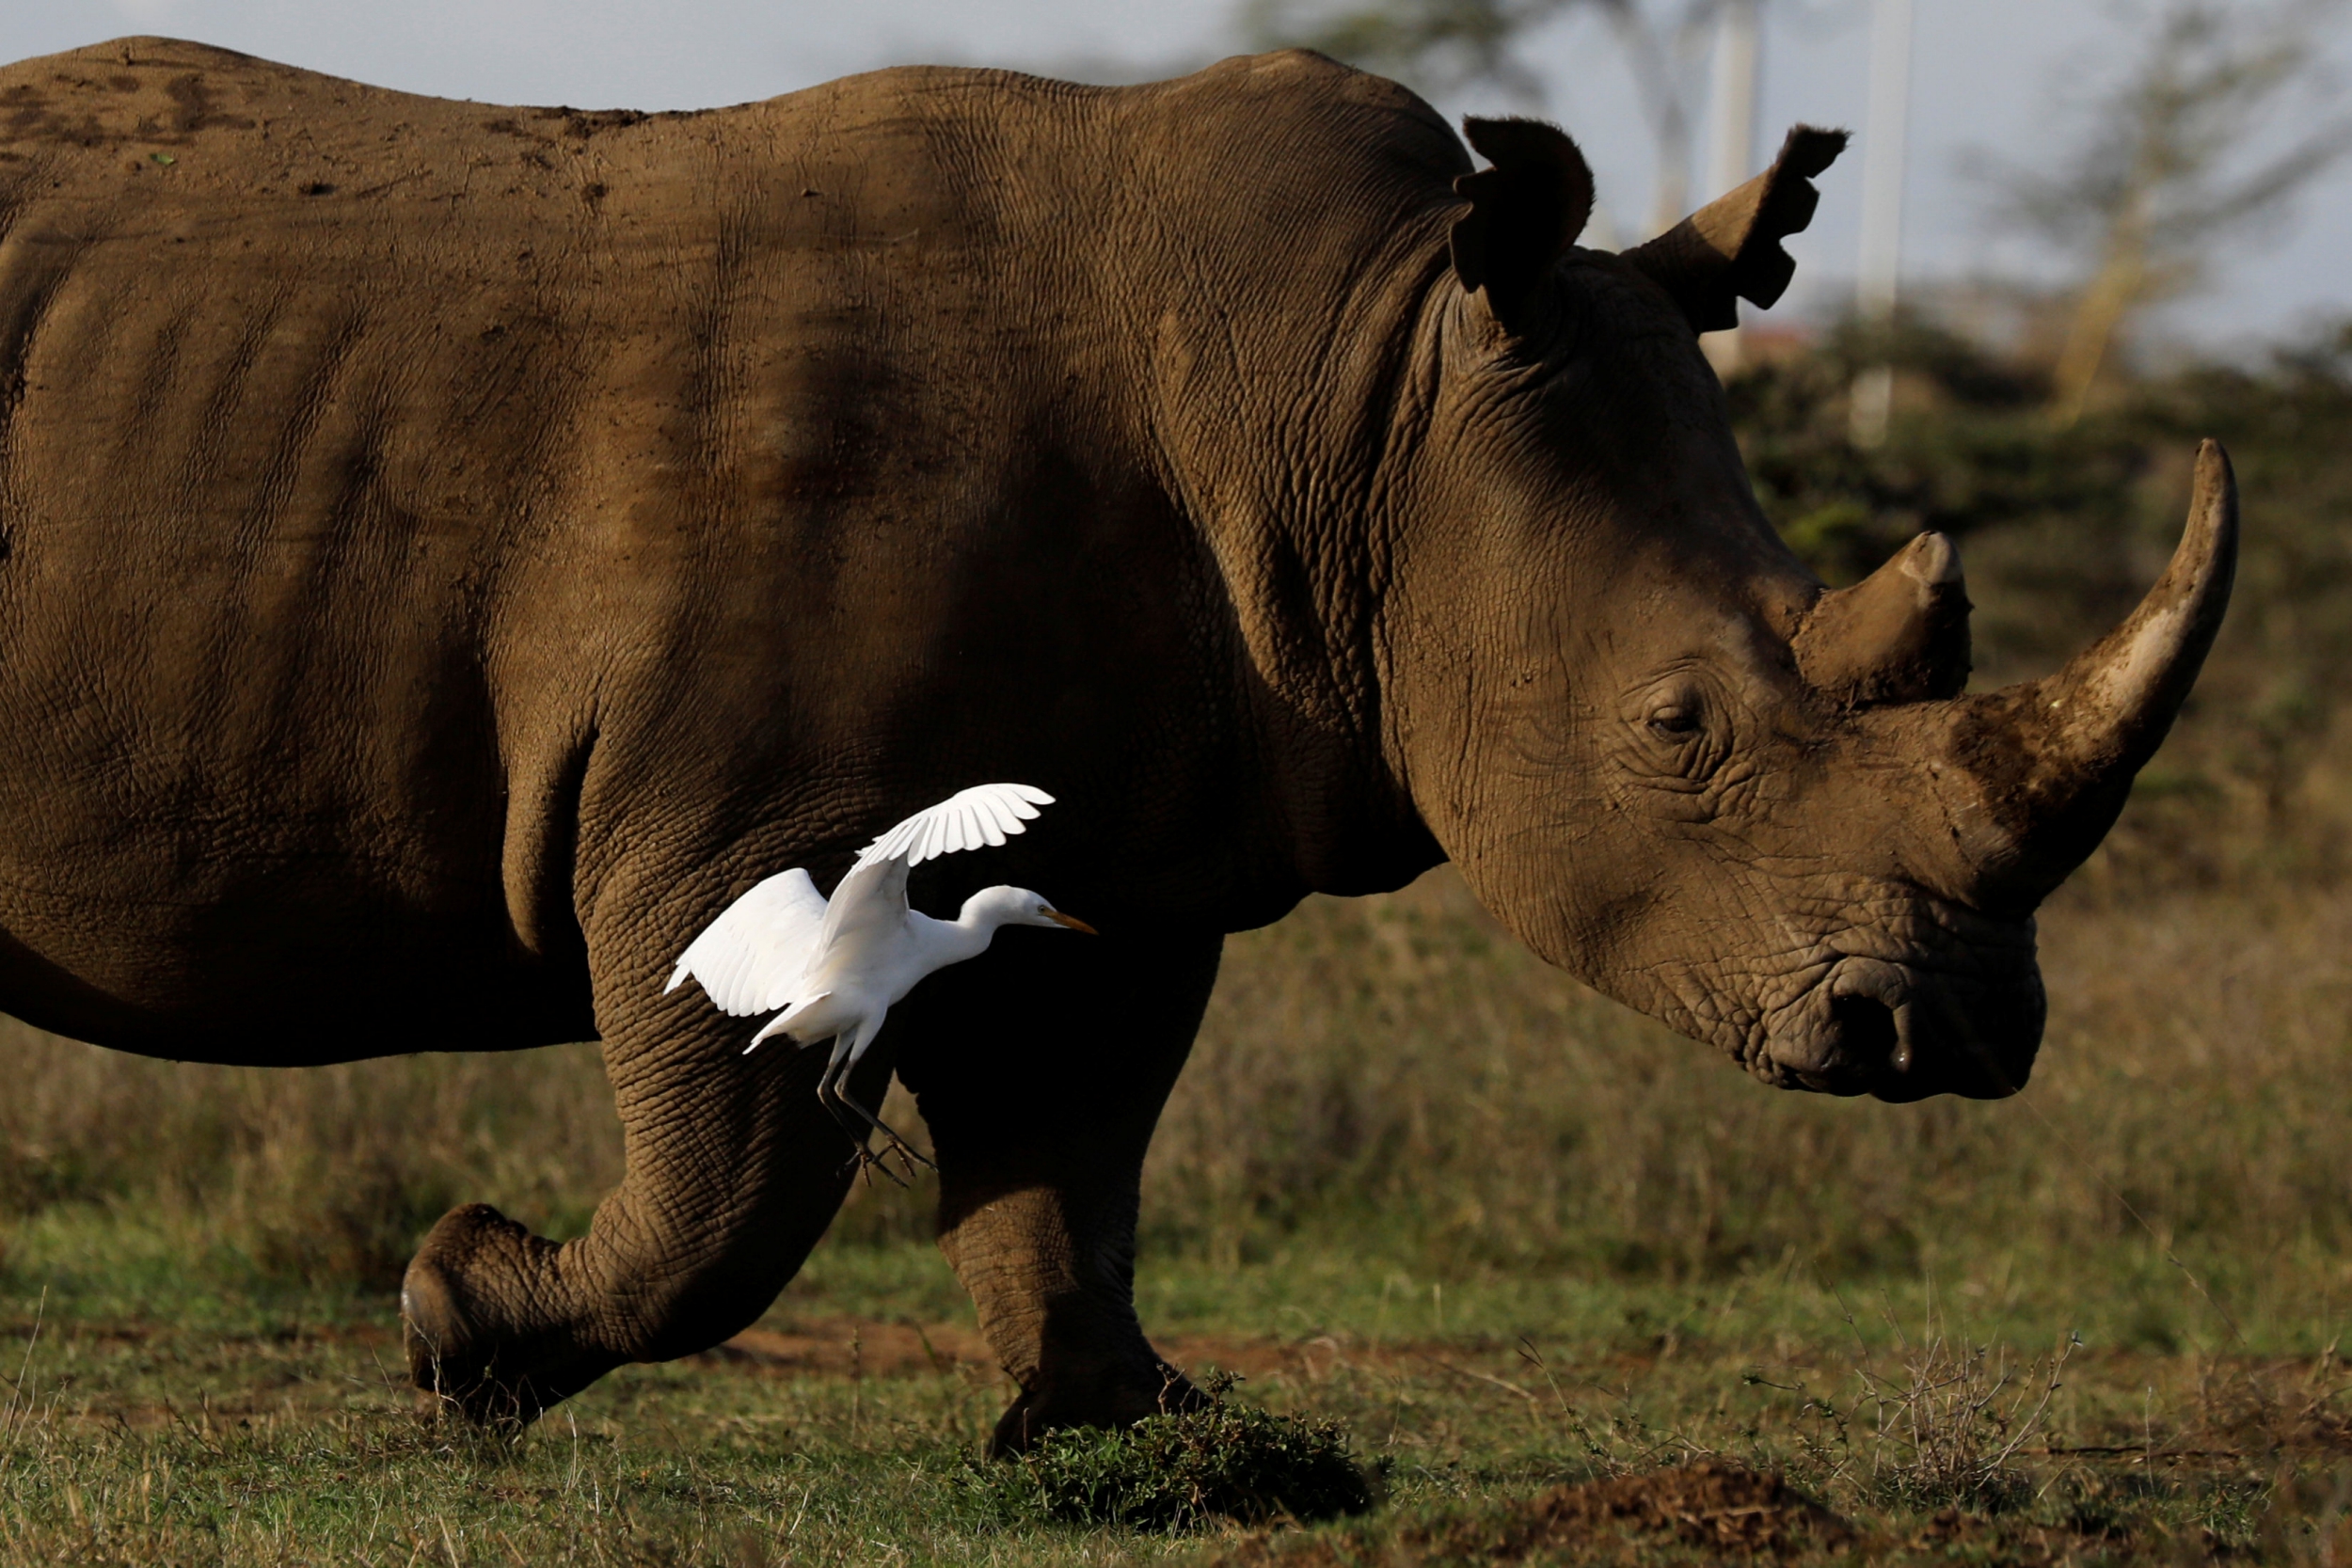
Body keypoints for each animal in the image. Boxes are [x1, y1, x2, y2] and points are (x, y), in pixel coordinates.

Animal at [0, 38, 2233, 1447]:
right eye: (1679, 727)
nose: (1949, 1031)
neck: (1358, 388)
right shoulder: (729, 816)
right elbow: (736, 1190)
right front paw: (460, 1325)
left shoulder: (1137, 828)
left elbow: (1072, 1137)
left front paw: (1141, 1440)